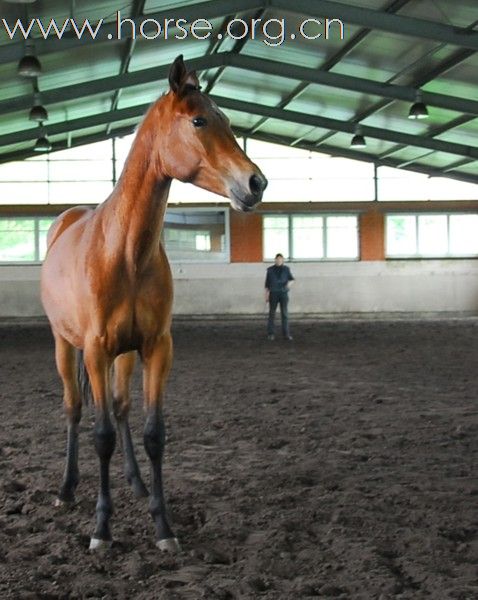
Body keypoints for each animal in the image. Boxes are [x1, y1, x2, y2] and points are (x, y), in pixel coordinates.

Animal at [39, 54, 268, 552]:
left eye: (227, 119)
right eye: (199, 120)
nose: (256, 183)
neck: (124, 252)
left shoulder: (157, 348)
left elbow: (153, 434)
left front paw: (163, 526)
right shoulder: (95, 350)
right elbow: (101, 435)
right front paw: (102, 530)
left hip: (125, 356)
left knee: (122, 407)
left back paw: (137, 484)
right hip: (66, 347)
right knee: (74, 410)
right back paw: (65, 489)